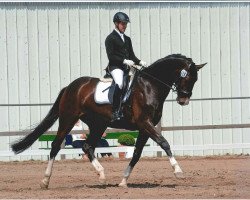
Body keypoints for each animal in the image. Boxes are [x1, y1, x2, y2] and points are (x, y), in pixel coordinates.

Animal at [11, 54, 205, 188]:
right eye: (187, 77)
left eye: (196, 80)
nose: (183, 100)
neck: (150, 86)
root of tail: (70, 86)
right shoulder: (145, 123)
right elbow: (164, 143)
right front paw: (178, 171)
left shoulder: (144, 128)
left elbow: (136, 154)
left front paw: (123, 181)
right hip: (68, 119)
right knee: (55, 146)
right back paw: (45, 181)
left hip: (98, 124)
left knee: (87, 146)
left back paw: (102, 175)